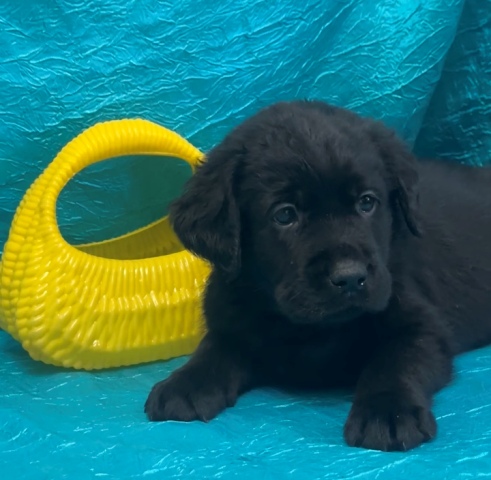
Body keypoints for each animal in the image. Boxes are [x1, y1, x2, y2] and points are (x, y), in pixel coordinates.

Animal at [144, 100, 491, 452]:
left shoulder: (422, 326)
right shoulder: (231, 314)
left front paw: (387, 411)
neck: (312, 328)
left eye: (367, 202)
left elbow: (395, 362)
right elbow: (215, 347)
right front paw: (186, 383)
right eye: (285, 214)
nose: (350, 278)